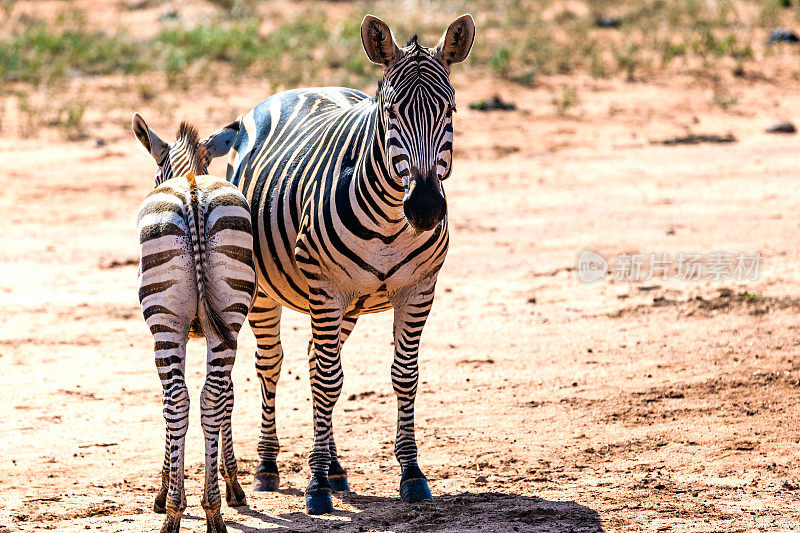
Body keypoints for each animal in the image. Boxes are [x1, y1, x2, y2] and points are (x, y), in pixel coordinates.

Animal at [131, 113, 255, 532]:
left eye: (154, 174)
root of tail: (192, 194)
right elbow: (227, 397)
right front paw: (232, 485)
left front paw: (162, 488)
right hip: (227, 315)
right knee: (208, 398)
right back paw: (212, 510)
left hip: (165, 323)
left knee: (176, 400)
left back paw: (174, 510)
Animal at [202, 13, 476, 512]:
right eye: (390, 113)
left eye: (450, 111)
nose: (426, 208)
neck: (390, 218)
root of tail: (300, 88)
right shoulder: (326, 288)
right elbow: (328, 381)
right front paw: (314, 487)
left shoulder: (418, 290)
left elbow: (403, 377)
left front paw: (411, 473)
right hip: (269, 291)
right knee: (274, 365)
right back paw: (269, 466)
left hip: (347, 303)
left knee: (315, 361)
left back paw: (335, 467)